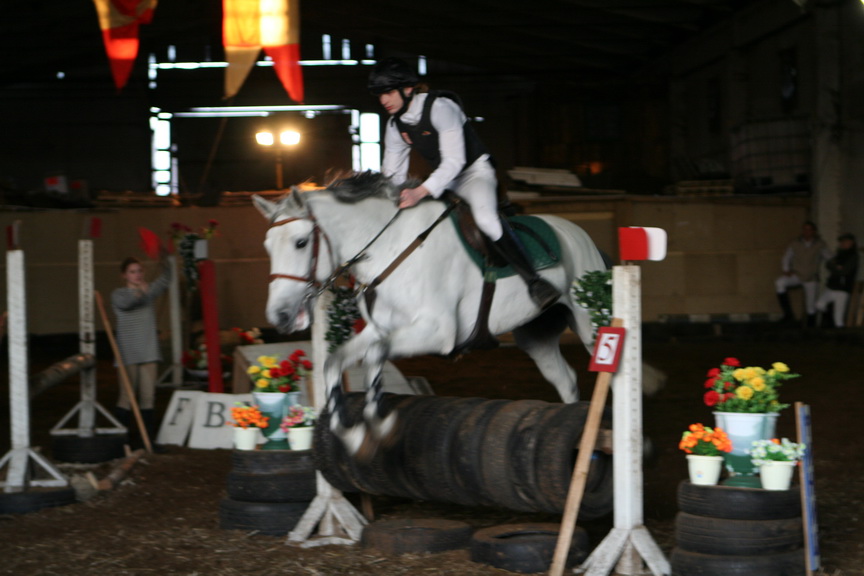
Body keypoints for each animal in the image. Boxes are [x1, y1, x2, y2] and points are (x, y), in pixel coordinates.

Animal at [253, 172, 628, 455]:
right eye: (267, 246)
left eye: (301, 243)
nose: (280, 316)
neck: (388, 248)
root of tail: (579, 233)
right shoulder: (380, 329)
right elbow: (338, 361)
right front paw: (356, 434)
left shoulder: (437, 332)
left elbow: (375, 355)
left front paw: (378, 423)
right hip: (536, 336)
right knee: (565, 379)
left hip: (591, 324)